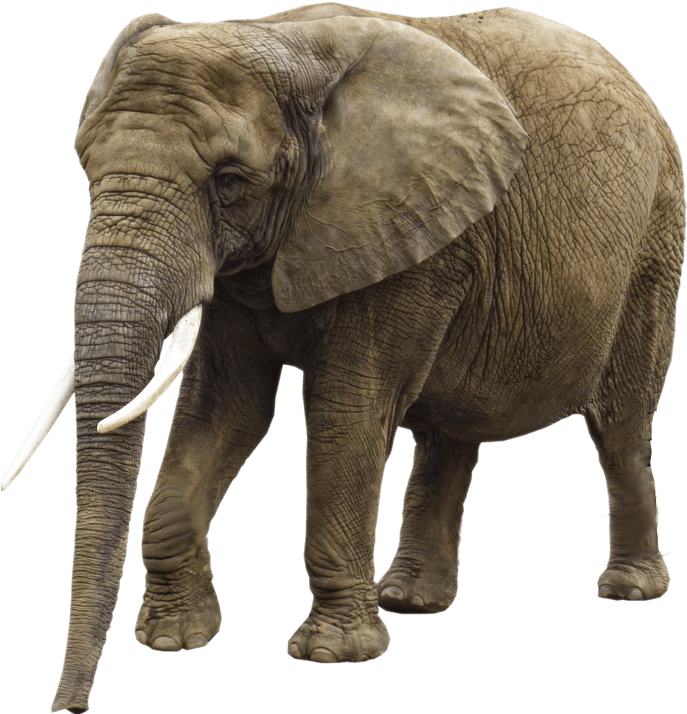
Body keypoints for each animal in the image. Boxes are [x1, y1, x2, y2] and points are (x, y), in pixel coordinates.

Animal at [3, 4, 684, 711]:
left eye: (229, 182)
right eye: (86, 168)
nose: (70, 706)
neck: (278, 39)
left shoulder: (403, 233)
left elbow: (346, 411)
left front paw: (332, 655)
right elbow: (226, 413)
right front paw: (173, 639)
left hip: (654, 239)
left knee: (620, 424)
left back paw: (629, 589)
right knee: (448, 431)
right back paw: (409, 601)